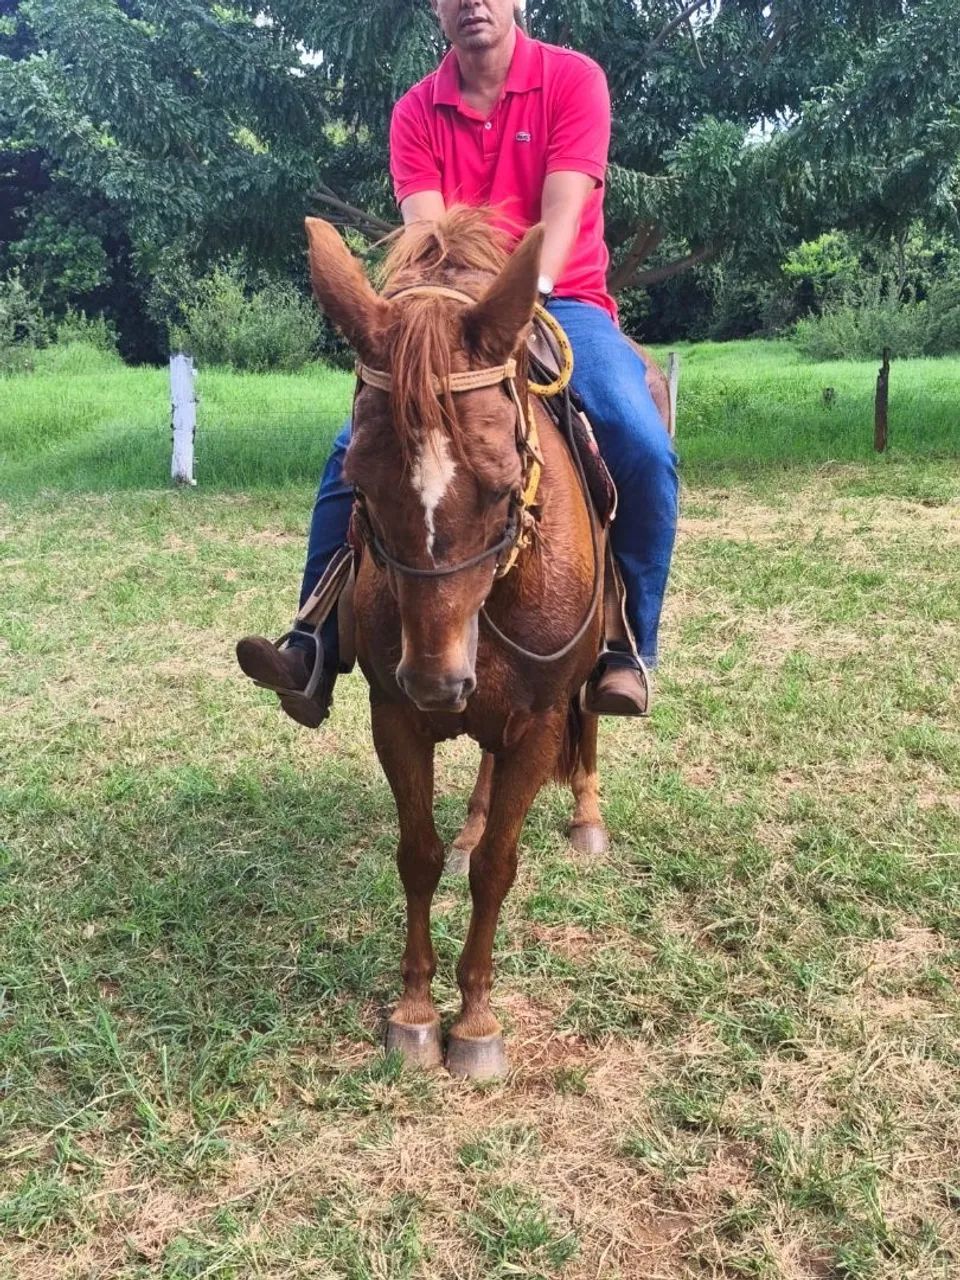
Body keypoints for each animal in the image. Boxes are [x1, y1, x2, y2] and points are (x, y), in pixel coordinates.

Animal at [303, 208, 666, 1079]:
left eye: (504, 485)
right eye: (358, 480)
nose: (438, 681)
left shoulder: (537, 721)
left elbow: (499, 868)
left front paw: (473, 1021)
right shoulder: (395, 716)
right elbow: (420, 854)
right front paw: (413, 1011)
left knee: (590, 721)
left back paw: (586, 814)